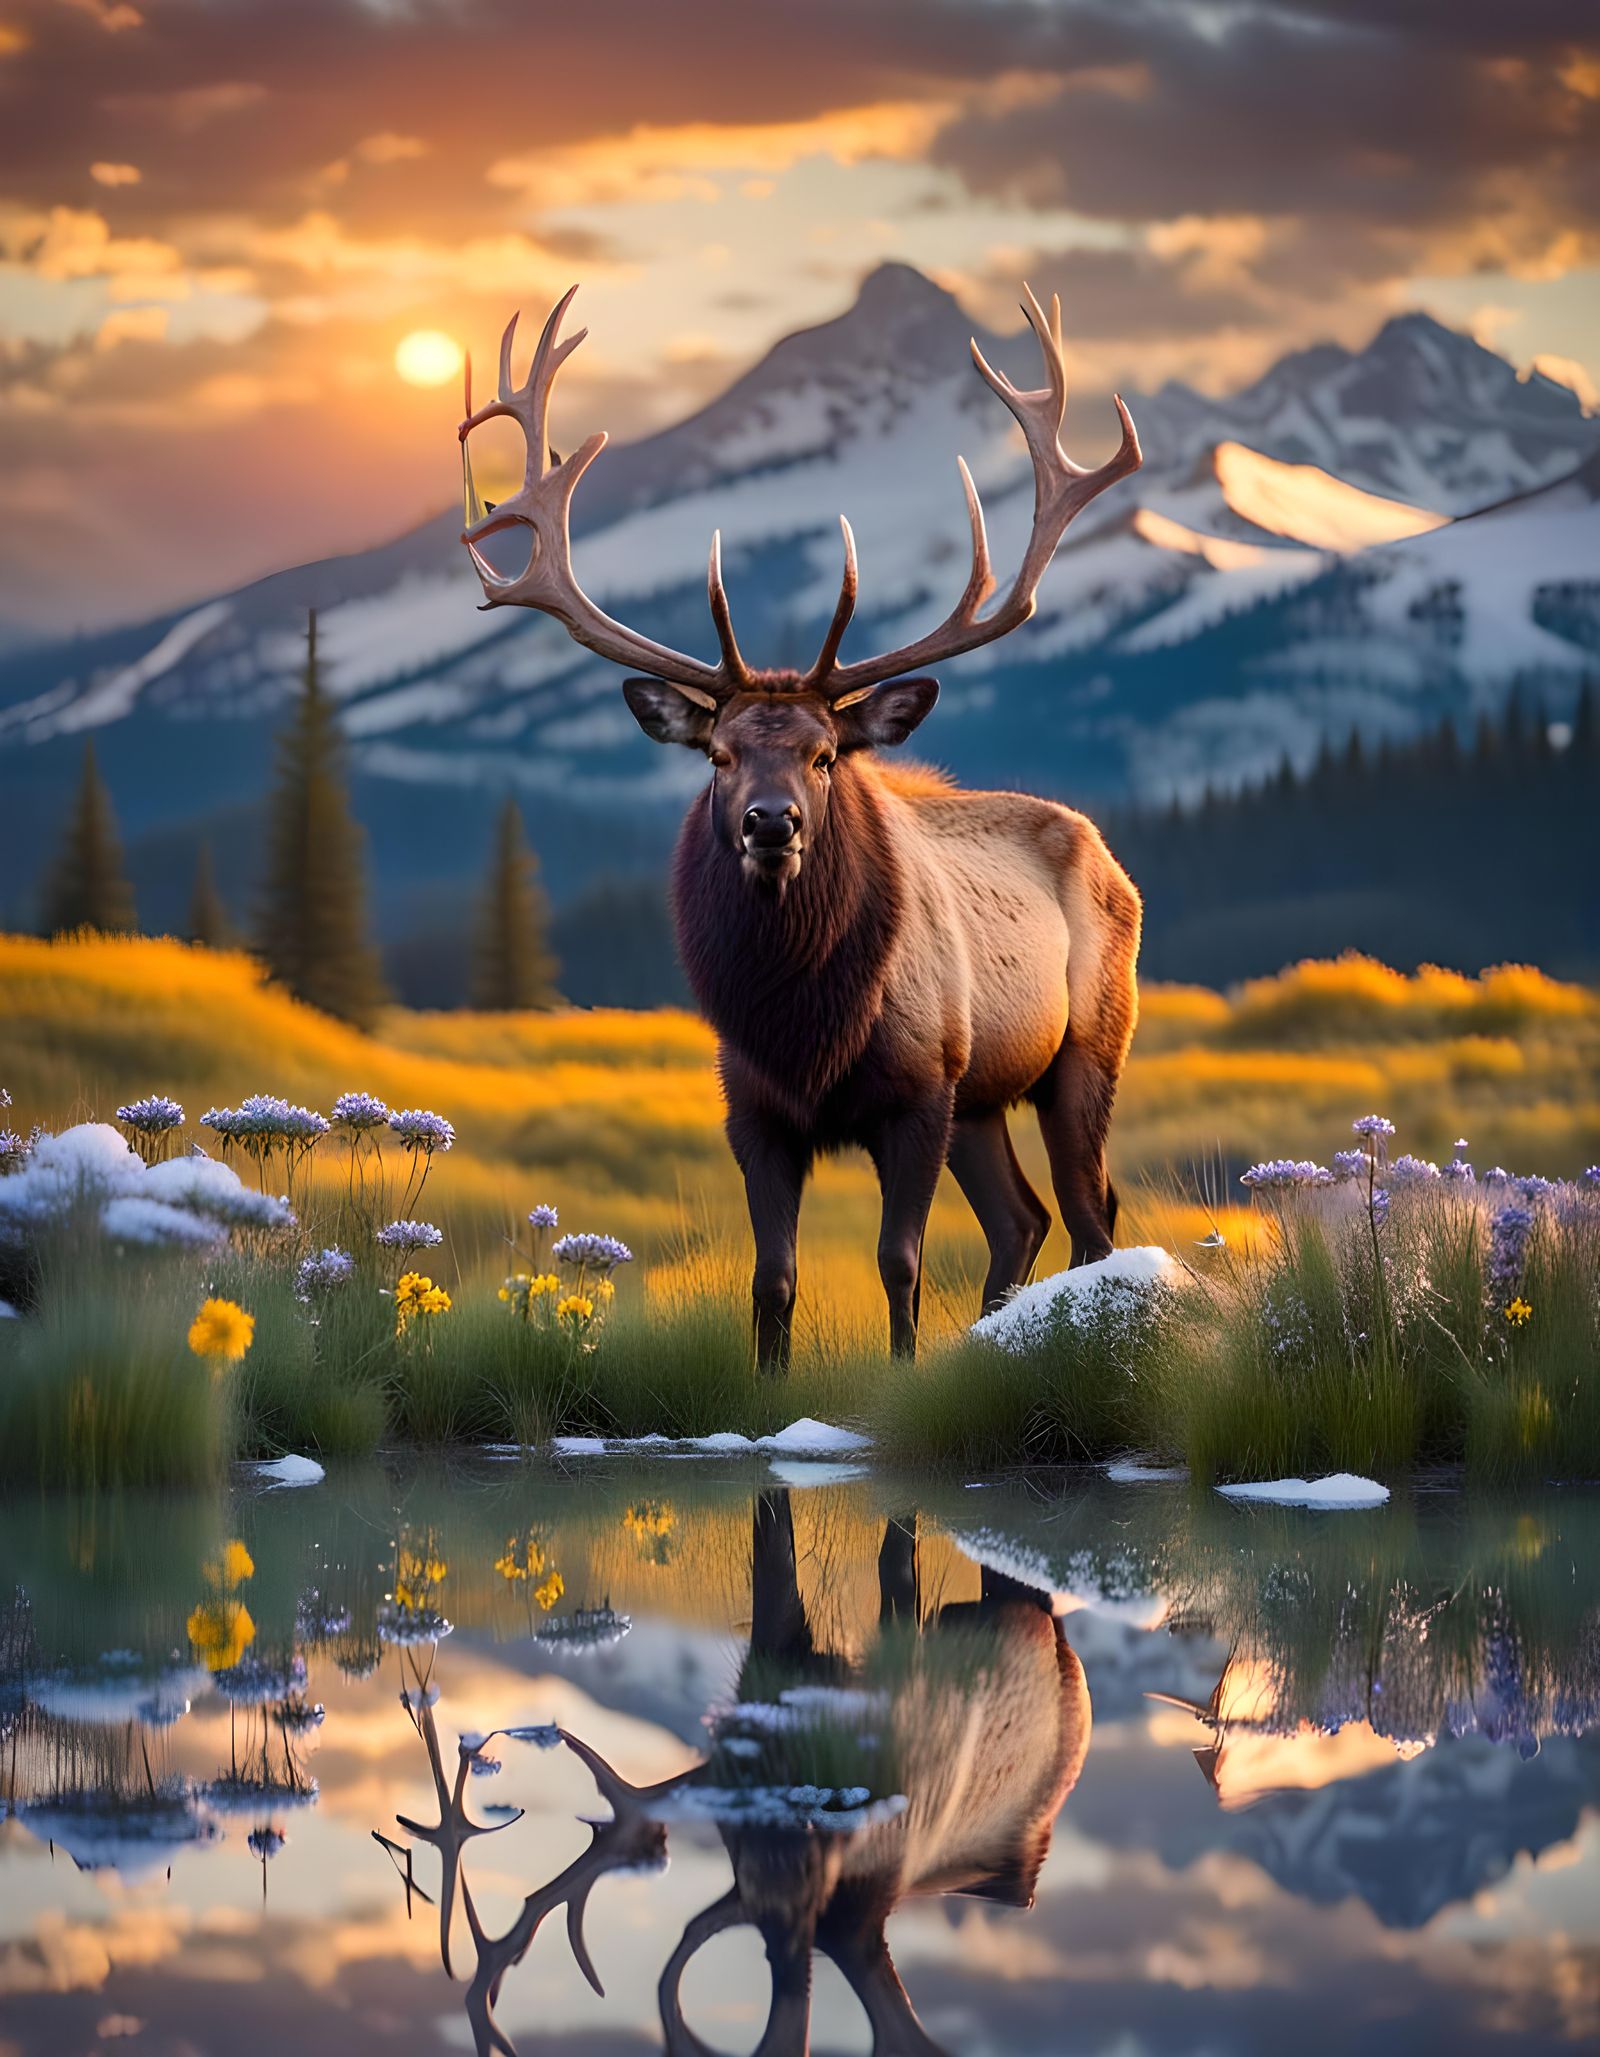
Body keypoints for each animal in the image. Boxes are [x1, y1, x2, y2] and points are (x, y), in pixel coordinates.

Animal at [458, 283, 1145, 1367]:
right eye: (717, 752)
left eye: (826, 753)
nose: (769, 822)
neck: (803, 1022)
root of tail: (1111, 856)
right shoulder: (753, 1108)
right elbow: (771, 1277)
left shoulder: (919, 1088)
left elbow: (899, 1264)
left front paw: (904, 1375)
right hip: (986, 1095)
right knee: (1023, 1219)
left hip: (1083, 1046)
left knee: (1089, 1211)